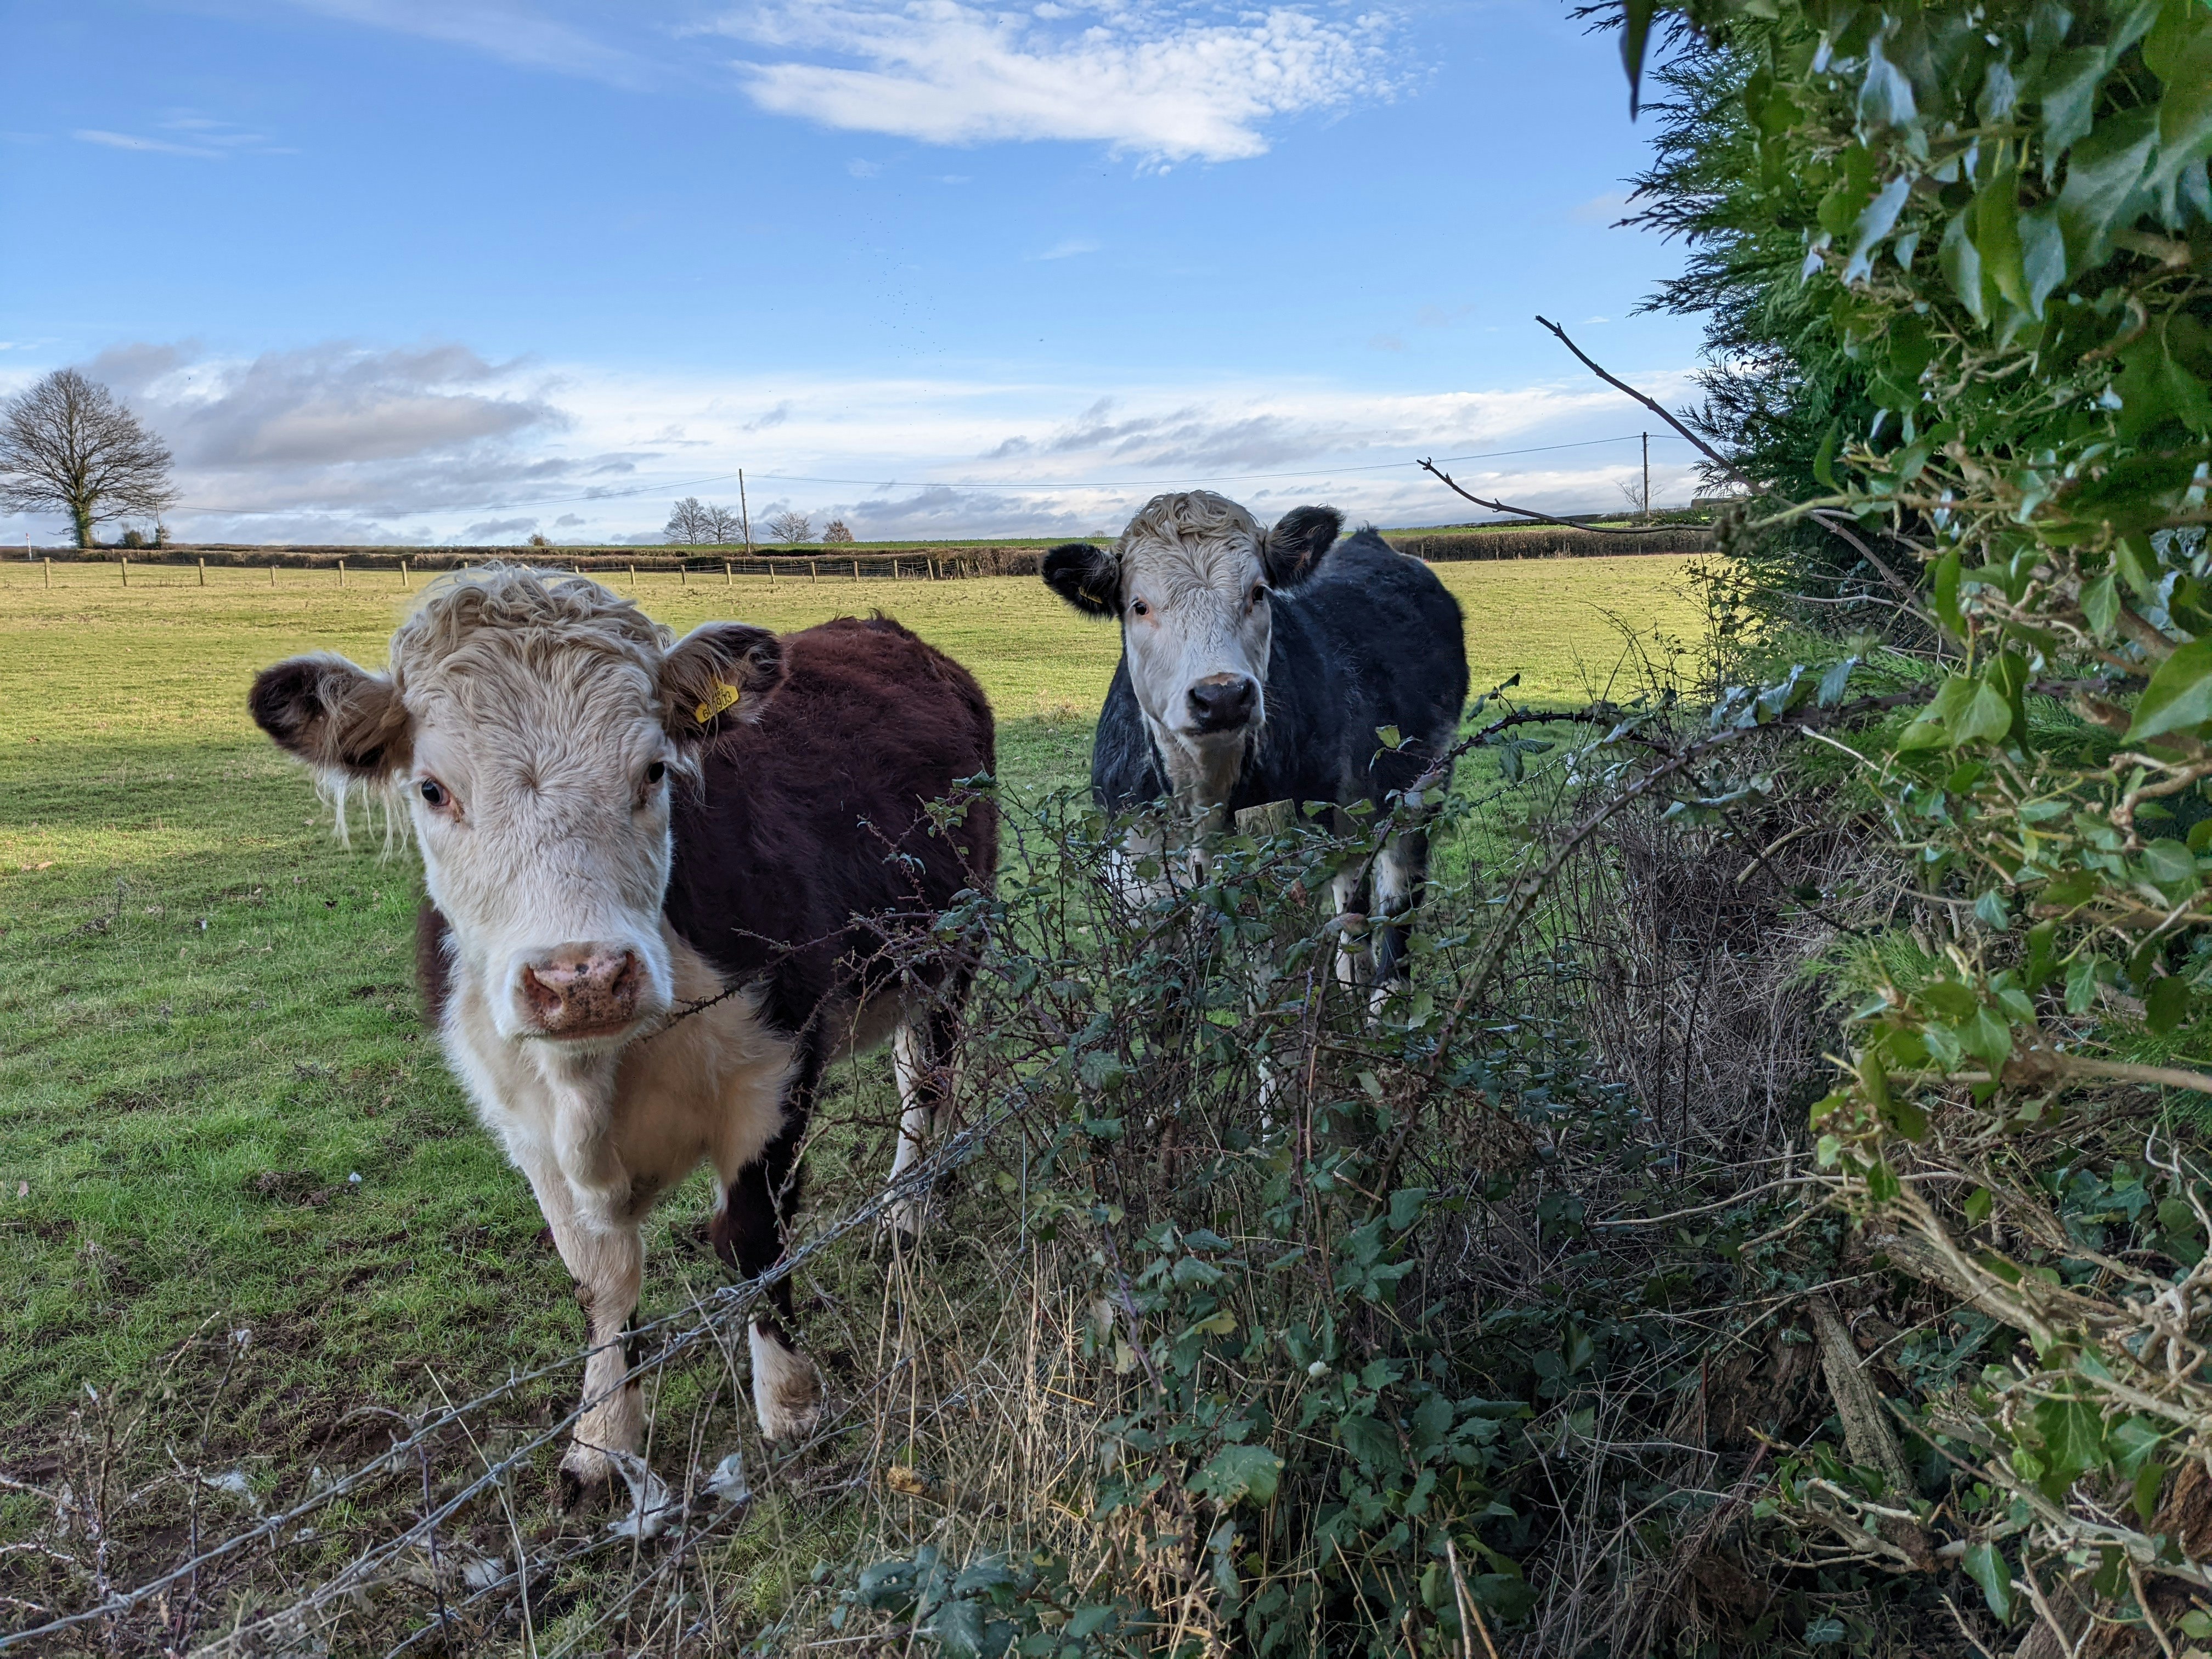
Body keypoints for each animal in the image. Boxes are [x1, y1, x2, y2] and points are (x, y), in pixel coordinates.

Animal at [248, 567, 995, 1500]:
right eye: (432, 789)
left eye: (653, 770)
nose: (584, 979)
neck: (597, 1077)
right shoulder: (522, 1121)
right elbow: (600, 1279)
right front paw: (602, 1438)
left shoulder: (776, 1070)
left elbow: (754, 1238)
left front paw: (790, 1404)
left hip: (952, 951)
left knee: (928, 1078)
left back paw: (909, 1208)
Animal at [1041, 490, 1466, 1001]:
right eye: (1139, 606)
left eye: (1258, 592)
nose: (1222, 695)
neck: (1203, 790)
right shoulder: (1138, 883)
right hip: (1351, 819)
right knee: (1353, 905)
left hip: (1420, 793)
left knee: (1399, 909)